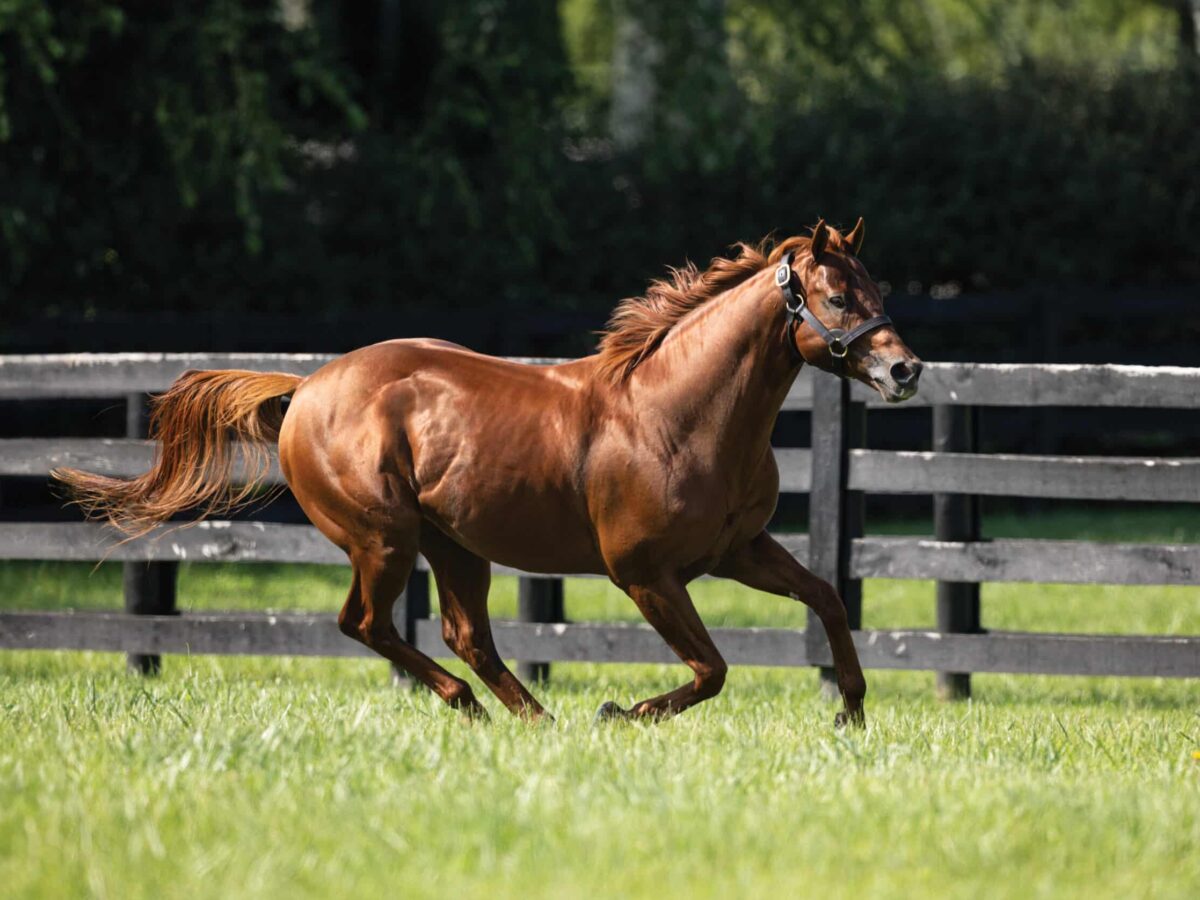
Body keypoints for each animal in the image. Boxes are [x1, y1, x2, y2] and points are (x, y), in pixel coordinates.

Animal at [54, 222, 916, 729]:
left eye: (879, 288)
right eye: (838, 295)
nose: (904, 370)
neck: (679, 411)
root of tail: (307, 389)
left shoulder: (738, 551)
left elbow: (828, 599)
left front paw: (851, 712)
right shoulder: (644, 573)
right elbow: (711, 668)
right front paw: (622, 708)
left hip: (454, 545)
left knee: (464, 634)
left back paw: (531, 718)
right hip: (385, 540)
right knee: (367, 624)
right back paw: (479, 708)